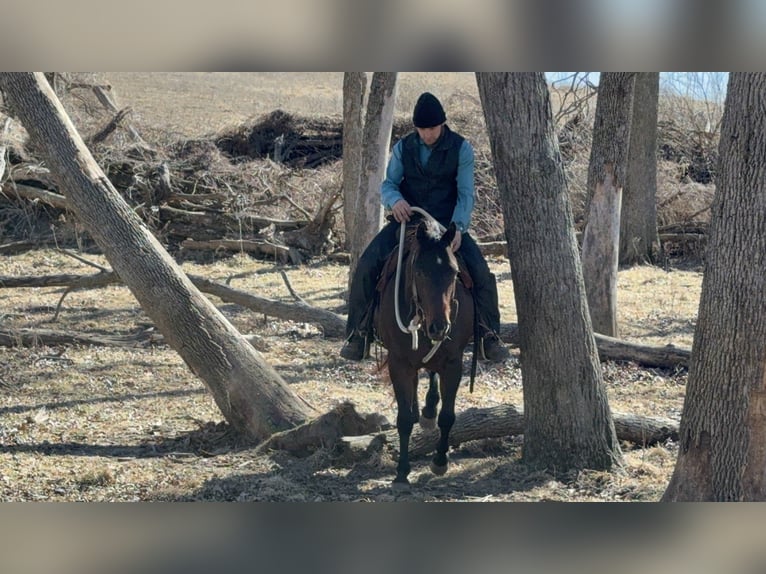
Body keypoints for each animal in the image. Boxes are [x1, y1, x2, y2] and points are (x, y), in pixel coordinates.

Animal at [373, 213, 476, 489]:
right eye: (419, 270)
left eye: (454, 272)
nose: (439, 327)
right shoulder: (399, 364)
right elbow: (403, 419)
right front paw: (401, 471)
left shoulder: (453, 362)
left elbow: (448, 416)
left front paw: (440, 461)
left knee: (431, 376)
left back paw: (429, 410)